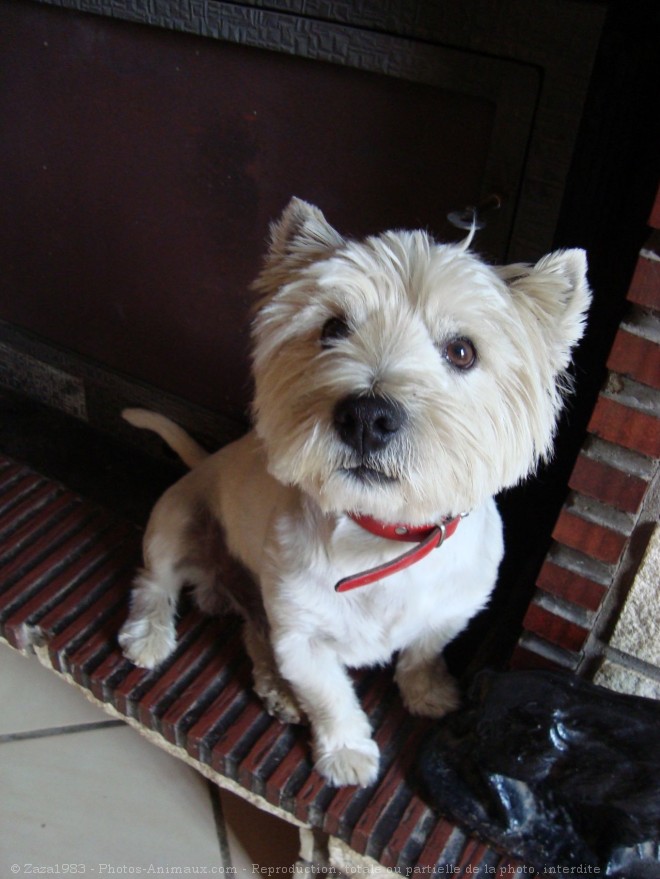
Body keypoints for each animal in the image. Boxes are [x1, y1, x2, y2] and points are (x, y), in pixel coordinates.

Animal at [116, 199, 592, 792]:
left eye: (462, 351)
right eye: (333, 328)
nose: (367, 417)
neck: (384, 534)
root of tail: (206, 461)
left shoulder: (452, 609)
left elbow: (422, 651)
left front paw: (429, 691)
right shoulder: (301, 637)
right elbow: (330, 696)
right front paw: (346, 752)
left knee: (252, 629)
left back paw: (275, 688)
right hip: (177, 522)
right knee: (155, 582)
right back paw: (151, 637)